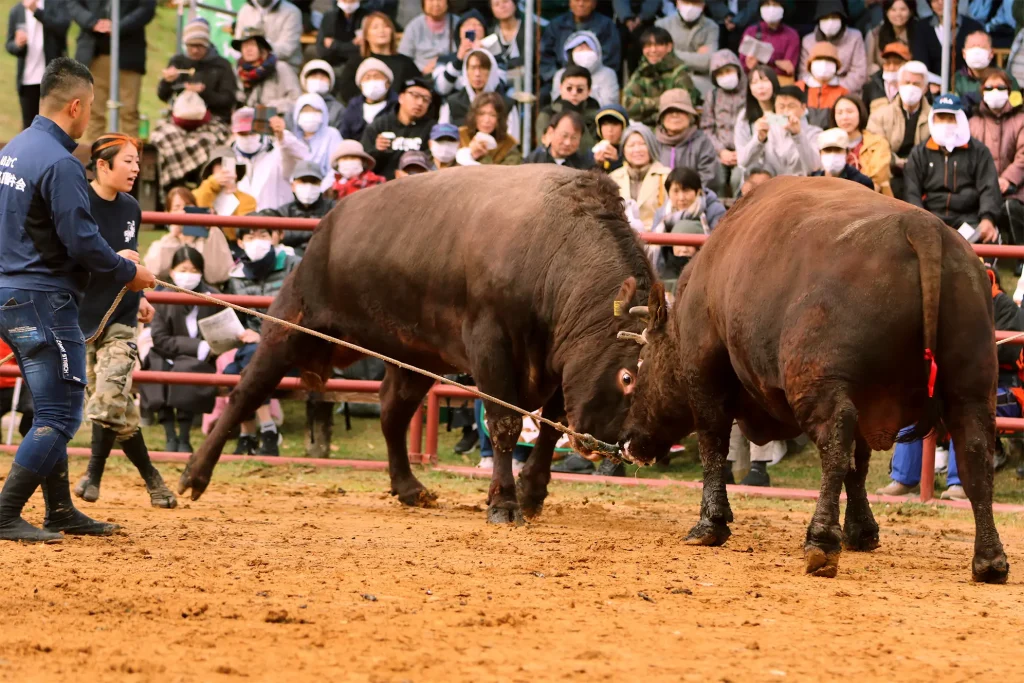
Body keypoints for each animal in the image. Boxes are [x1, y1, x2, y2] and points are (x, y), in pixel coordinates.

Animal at [179, 163, 651, 524]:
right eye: (627, 376)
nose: (629, 448)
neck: (555, 248)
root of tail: (329, 224)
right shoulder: (492, 347)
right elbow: (505, 424)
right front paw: (504, 502)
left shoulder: (561, 363)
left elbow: (551, 428)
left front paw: (532, 494)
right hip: (291, 325)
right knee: (246, 392)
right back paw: (194, 476)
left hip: (414, 358)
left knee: (391, 414)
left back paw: (408, 487)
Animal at [614, 175, 1007, 581]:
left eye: (639, 368)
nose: (626, 439)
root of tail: (921, 227)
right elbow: (859, 466)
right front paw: (861, 531)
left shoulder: (706, 376)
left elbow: (713, 444)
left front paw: (711, 523)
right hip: (971, 386)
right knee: (974, 452)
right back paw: (989, 558)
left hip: (817, 386)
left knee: (835, 443)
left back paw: (820, 540)